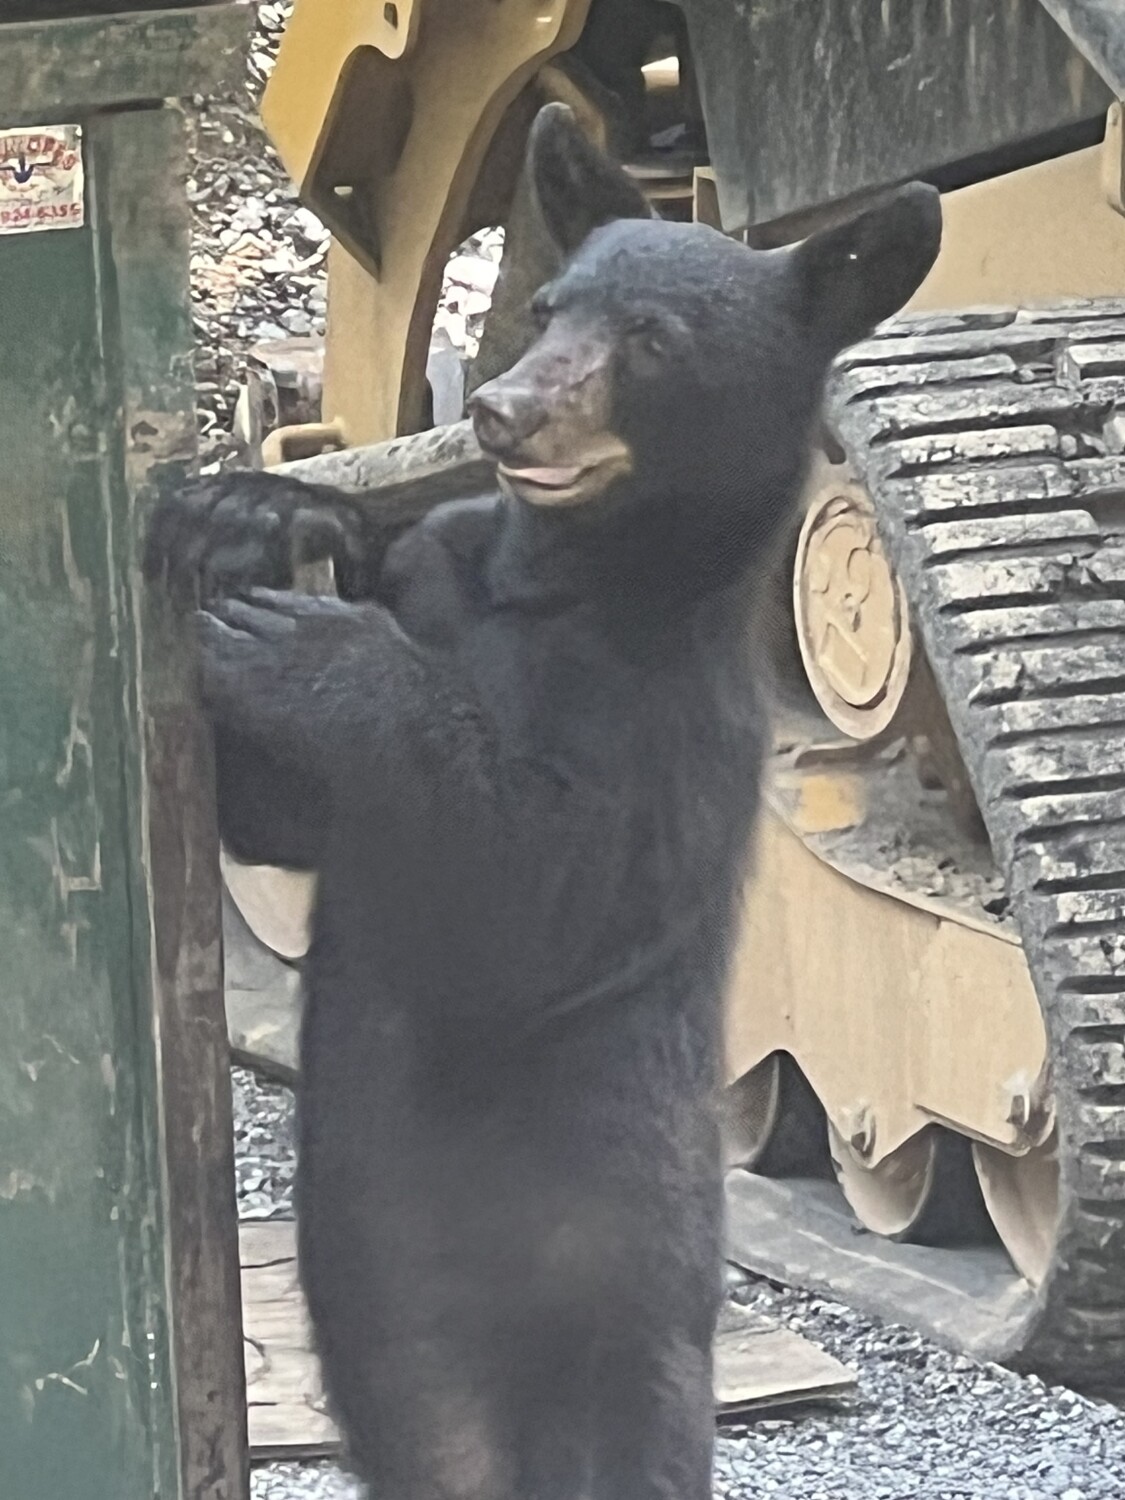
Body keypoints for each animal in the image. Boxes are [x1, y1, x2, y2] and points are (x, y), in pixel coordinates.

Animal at [146, 105, 941, 1500]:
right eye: (554, 305)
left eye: (653, 340)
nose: (505, 411)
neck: (555, 584)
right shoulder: (443, 565)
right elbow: (287, 821)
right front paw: (256, 513)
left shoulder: (676, 737)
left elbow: (532, 899)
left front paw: (310, 647)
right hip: (401, 1377)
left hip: (618, 1346)